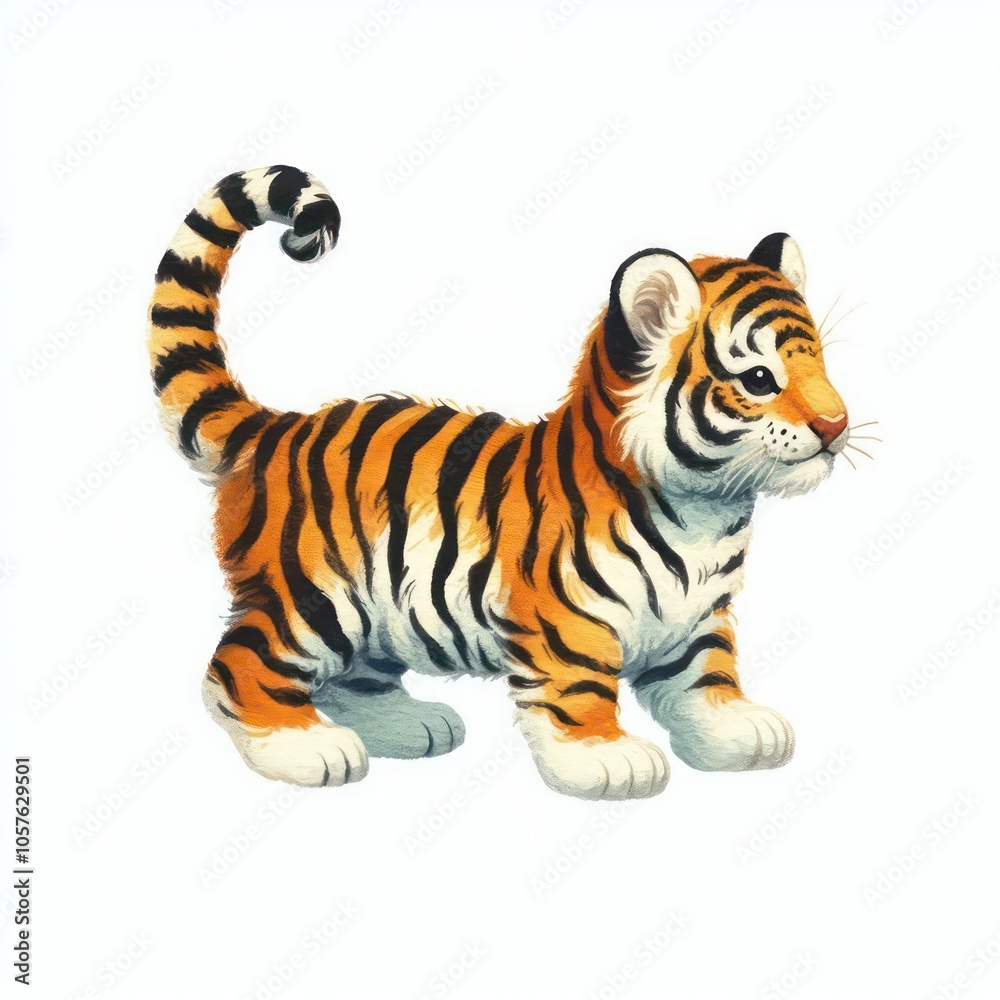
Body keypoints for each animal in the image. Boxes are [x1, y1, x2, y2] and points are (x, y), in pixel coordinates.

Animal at [147, 164, 853, 800]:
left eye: (820, 361)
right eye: (759, 379)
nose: (837, 423)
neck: (706, 510)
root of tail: (278, 424)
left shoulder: (699, 617)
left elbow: (705, 680)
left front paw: (741, 730)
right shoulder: (565, 620)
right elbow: (580, 690)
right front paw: (607, 759)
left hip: (375, 612)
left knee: (354, 678)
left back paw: (413, 724)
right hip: (316, 598)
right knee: (235, 668)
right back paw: (305, 747)